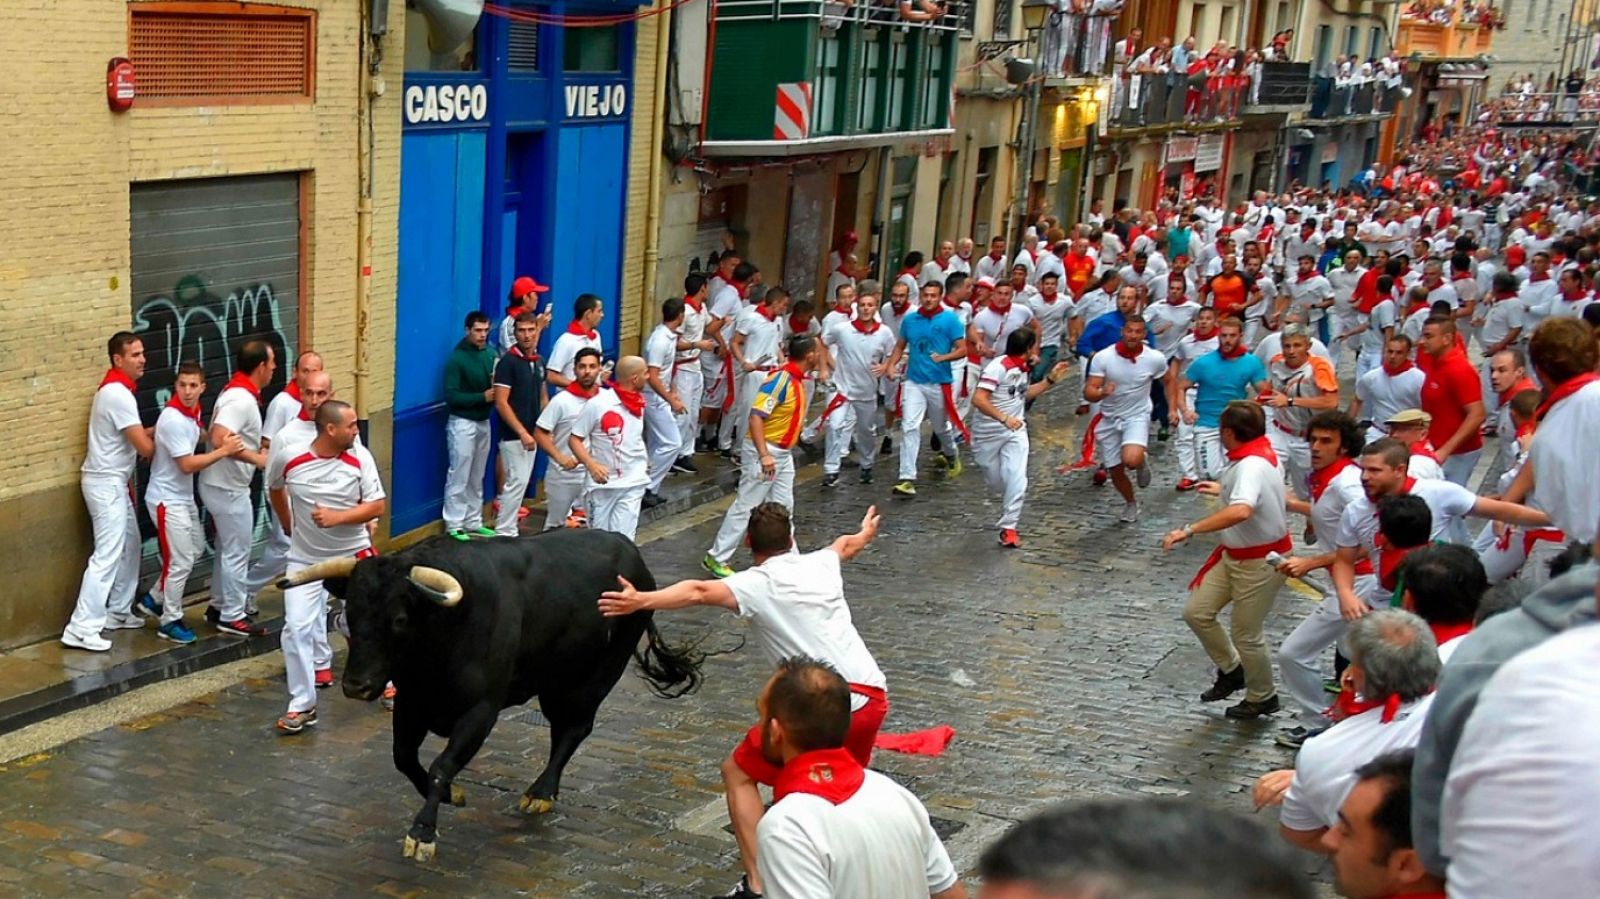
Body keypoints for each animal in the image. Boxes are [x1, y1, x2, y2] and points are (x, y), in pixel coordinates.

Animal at [280, 527, 700, 857]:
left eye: (399, 619)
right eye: (348, 615)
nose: (356, 685)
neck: (444, 629)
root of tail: (629, 551)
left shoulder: (480, 711)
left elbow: (442, 765)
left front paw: (423, 832)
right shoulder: (412, 703)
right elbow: (404, 758)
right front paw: (451, 795)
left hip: (592, 677)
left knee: (573, 729)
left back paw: (541, 792)